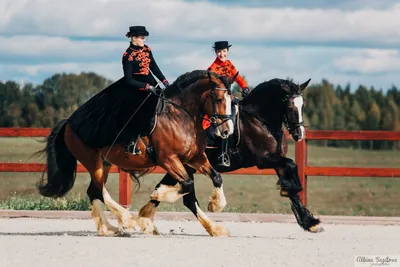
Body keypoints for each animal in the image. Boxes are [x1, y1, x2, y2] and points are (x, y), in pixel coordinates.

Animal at [36, 70, 238, 237]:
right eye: (219, 99)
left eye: (232, 100)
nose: (227, 131)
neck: (180, 116)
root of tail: (68, 123)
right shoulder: (168, 160)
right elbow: (187, 186)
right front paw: (157, 197)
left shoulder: (194, 158)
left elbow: (216, 177)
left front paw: (215, 210)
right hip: (93, 161)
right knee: (100, 191)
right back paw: (128, 220)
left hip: (105, 163)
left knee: (94, 191)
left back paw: (109, 228)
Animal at [136, 77, 324, 237]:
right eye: (291, 106)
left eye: (303, 105)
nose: (299, 134)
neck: (259, 120)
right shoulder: (264, 159)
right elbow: (292, 166)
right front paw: (288, 190)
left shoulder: (277, 161)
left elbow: (293, 184)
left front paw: (310, 222)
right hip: (183, 165)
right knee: (187, 198)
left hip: (183, 166)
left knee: (168, 190)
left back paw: (146, 218)